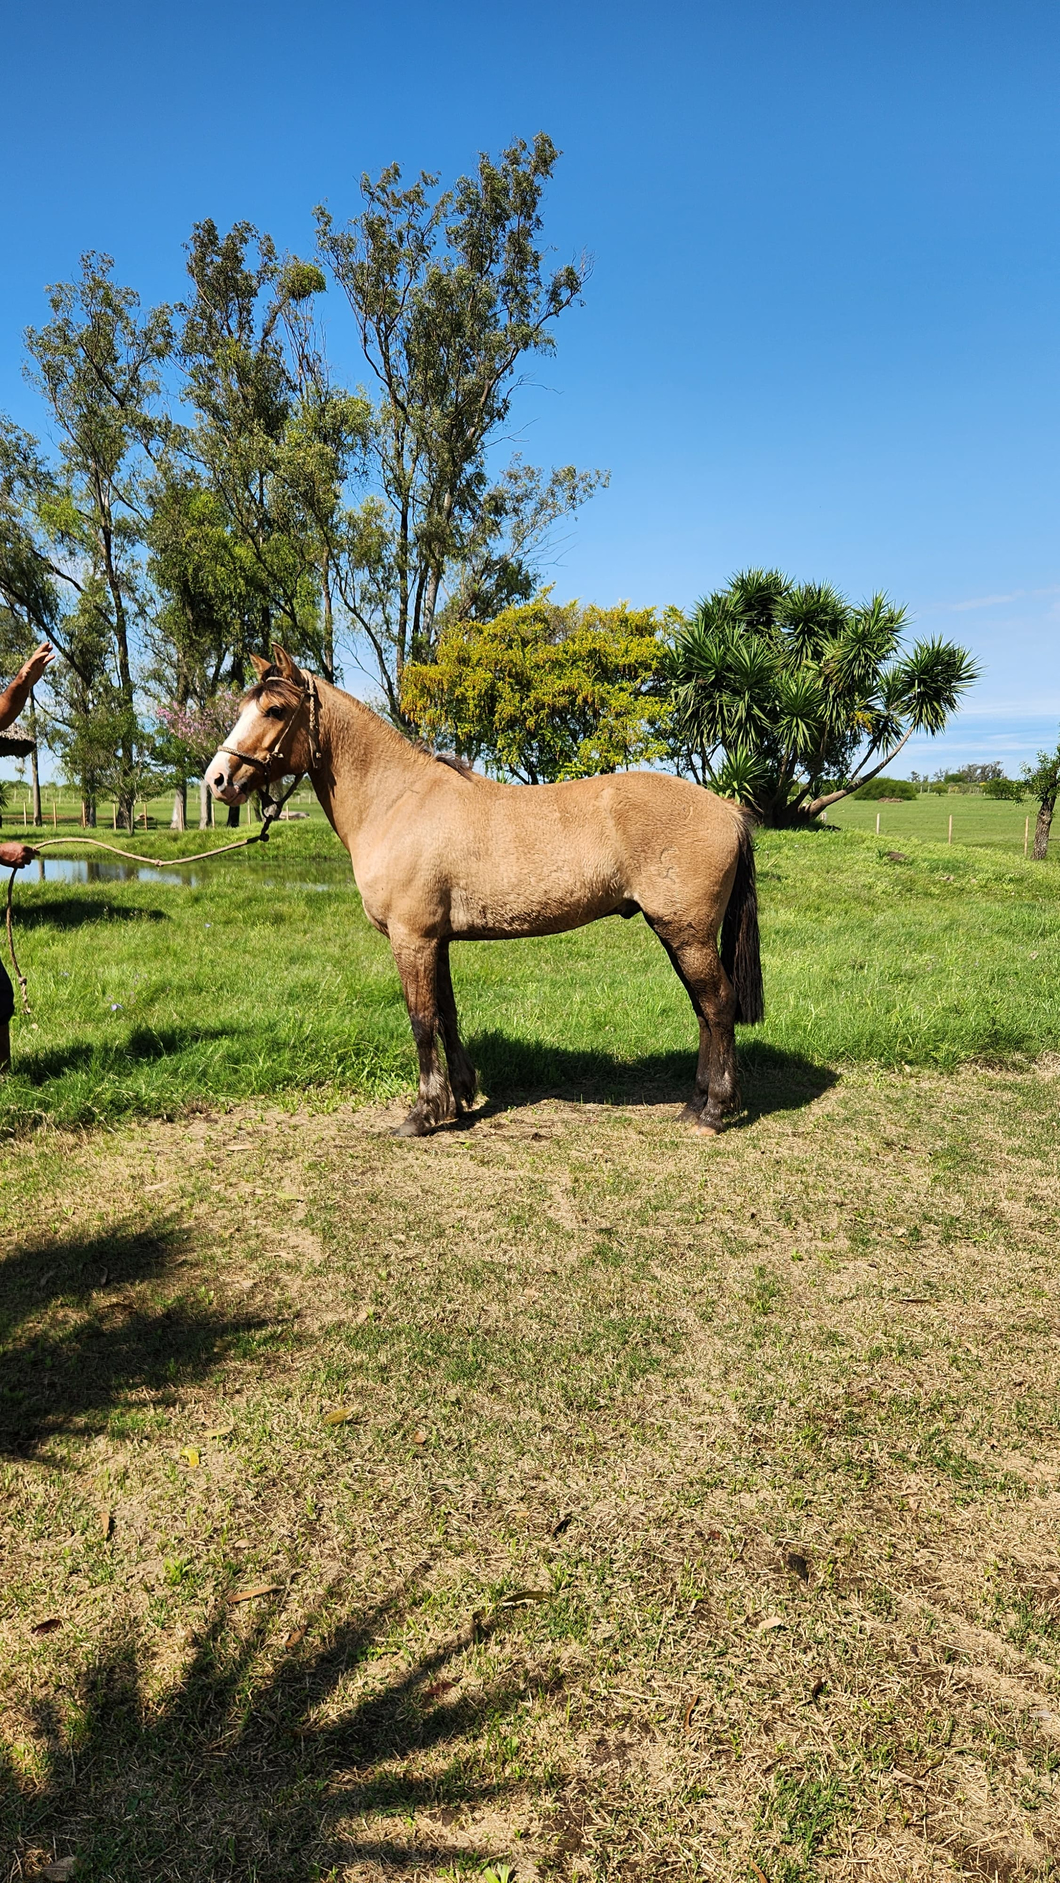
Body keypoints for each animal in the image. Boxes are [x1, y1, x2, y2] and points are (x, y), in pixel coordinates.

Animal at [209, 647, 764, 1137]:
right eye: (241, 708)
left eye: (275, 710)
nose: (218, 779)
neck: (398, 802)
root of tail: (728, 809)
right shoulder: (436, 941)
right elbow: (447, 1015)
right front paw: (458, 1098)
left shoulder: (411, 939)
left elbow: (421, 1021)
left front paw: (421, 1115)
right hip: (678, 934)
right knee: (703, 1010)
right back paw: (693, 1106)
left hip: (686, 933)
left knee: (717, 1005)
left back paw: (714, 1112)